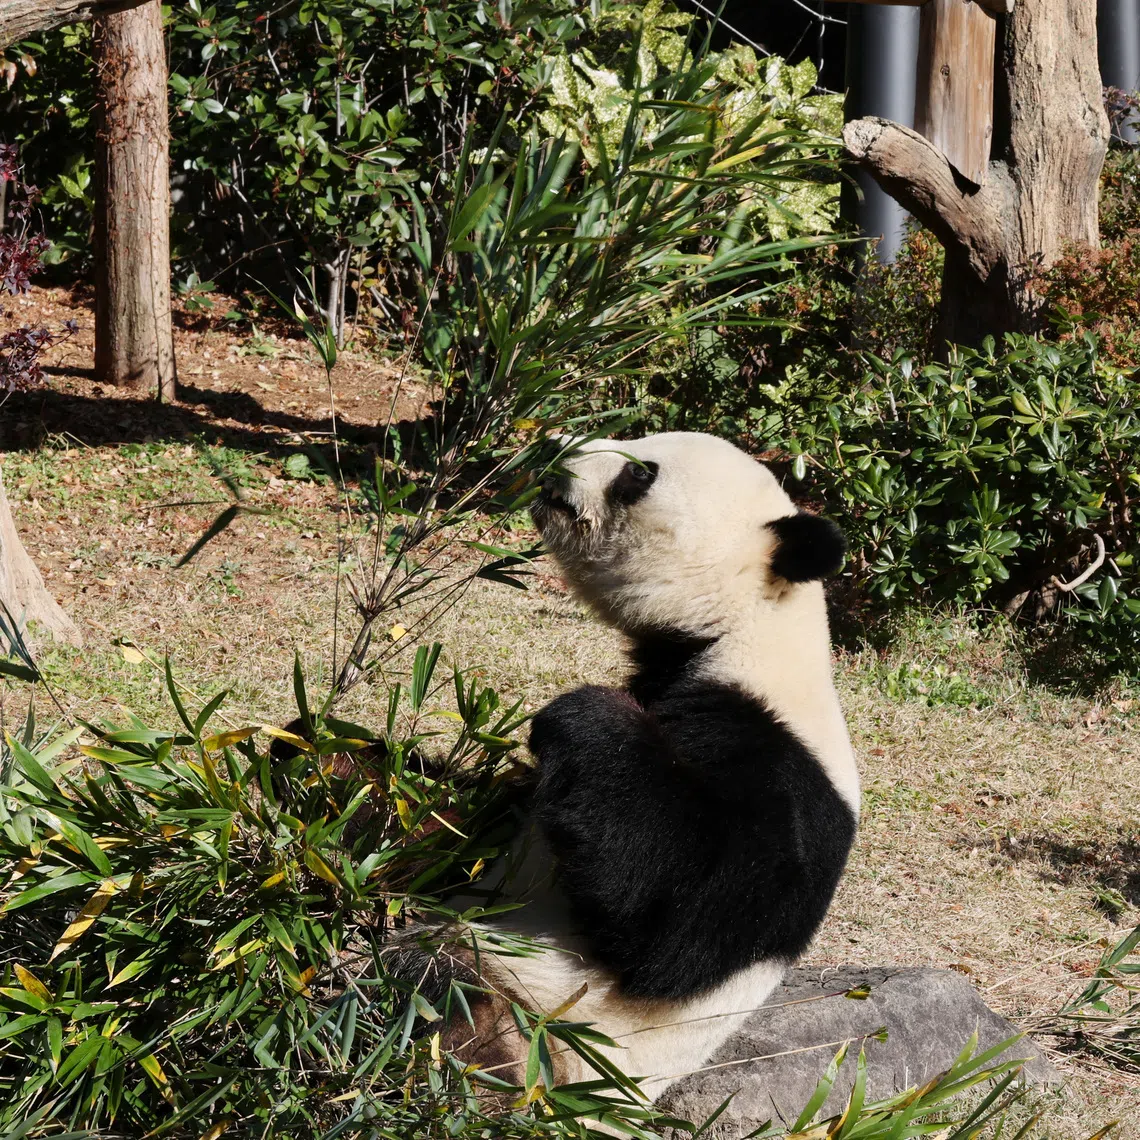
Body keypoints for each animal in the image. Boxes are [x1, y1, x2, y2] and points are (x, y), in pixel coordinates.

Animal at [435, 430, 860, 1101]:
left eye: (640, 473)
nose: (555, 445)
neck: (740, 630)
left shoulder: (780, 768)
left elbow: (682, 927)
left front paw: (591, 715)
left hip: (533, 1032)